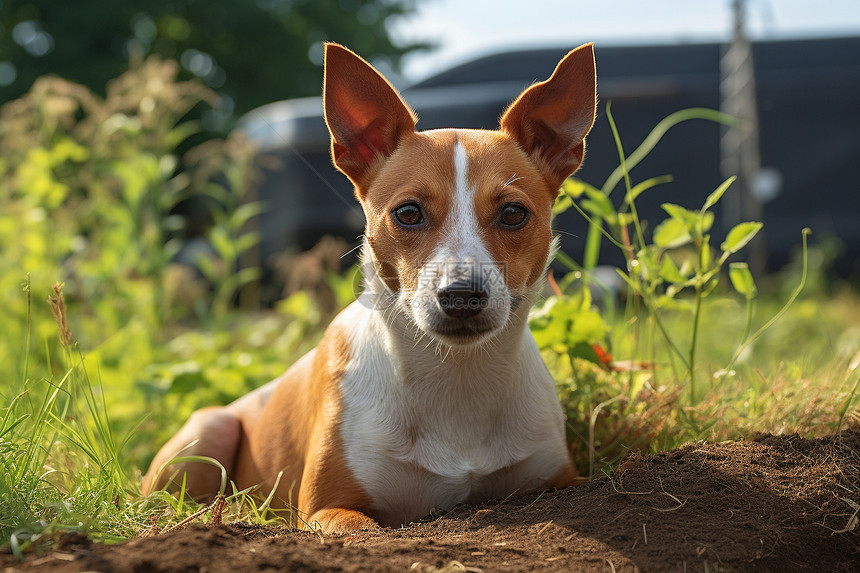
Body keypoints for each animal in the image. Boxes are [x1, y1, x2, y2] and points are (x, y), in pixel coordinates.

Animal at [143, 41, 596, 532]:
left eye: (513, 213)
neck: (455, 380)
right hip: (207, 434)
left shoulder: (560, 478)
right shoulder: (327, 507)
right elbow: (364, 530)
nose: (461, 293)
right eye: (408, 212)